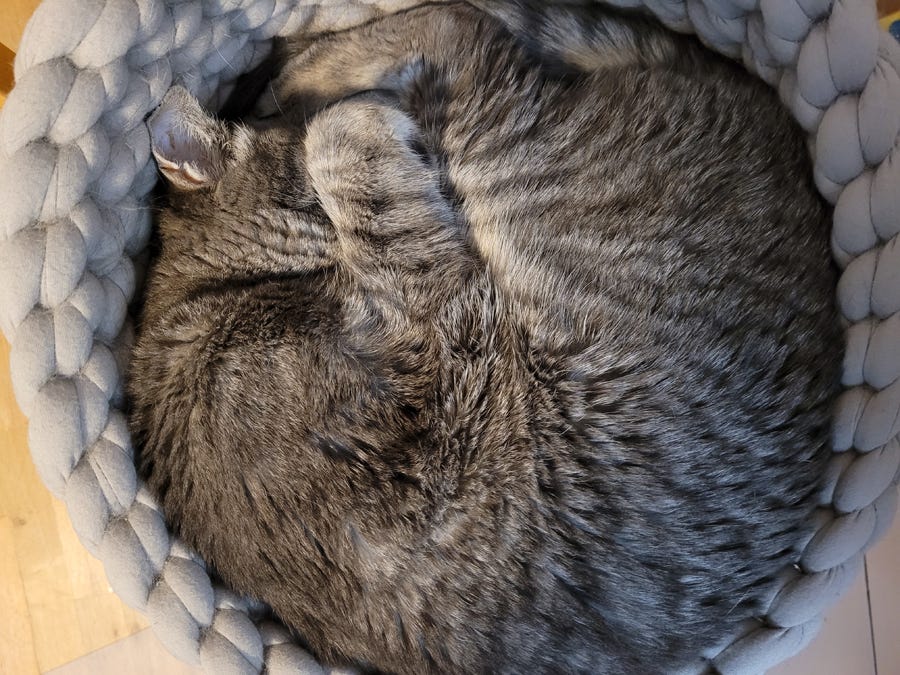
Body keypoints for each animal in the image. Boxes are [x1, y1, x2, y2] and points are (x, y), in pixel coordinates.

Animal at [126, 2, 844, 672]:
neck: (223, 291)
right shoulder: (438, 370)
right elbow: (342, 151)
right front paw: (333, 116)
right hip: (503, 153)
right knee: (463, 34)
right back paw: (319, 69)